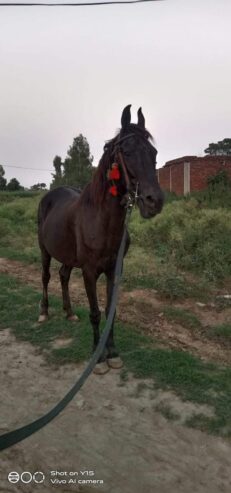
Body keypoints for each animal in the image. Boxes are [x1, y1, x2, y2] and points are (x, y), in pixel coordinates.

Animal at [37, 104, 164, 372]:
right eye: (127, 151)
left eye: (153, 152)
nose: (154, 201)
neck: (103, 221)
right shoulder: (89, 271)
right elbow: (95, 312)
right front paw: (98, 356)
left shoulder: (114, 269)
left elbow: (109, 311)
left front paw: (112, 352)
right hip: (44, 249)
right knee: (46, 277)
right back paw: (44, 312)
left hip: (68, 256)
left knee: (63, 276)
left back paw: (69, 312)